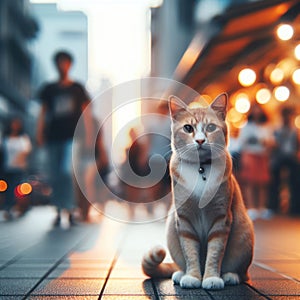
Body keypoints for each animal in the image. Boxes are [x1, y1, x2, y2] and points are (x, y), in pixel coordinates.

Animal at [142, 93, 254, 288]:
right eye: (188, 128)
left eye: (210, 127)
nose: (200, 140)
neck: (201, 168)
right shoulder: (184, 220)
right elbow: (190, 253)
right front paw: (193, 277)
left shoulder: (221, 219)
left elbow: (214, 254)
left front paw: (211, 278)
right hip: (171, 227)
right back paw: (180, 273)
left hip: (244, 234)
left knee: (243, 274)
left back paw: (230, 276)